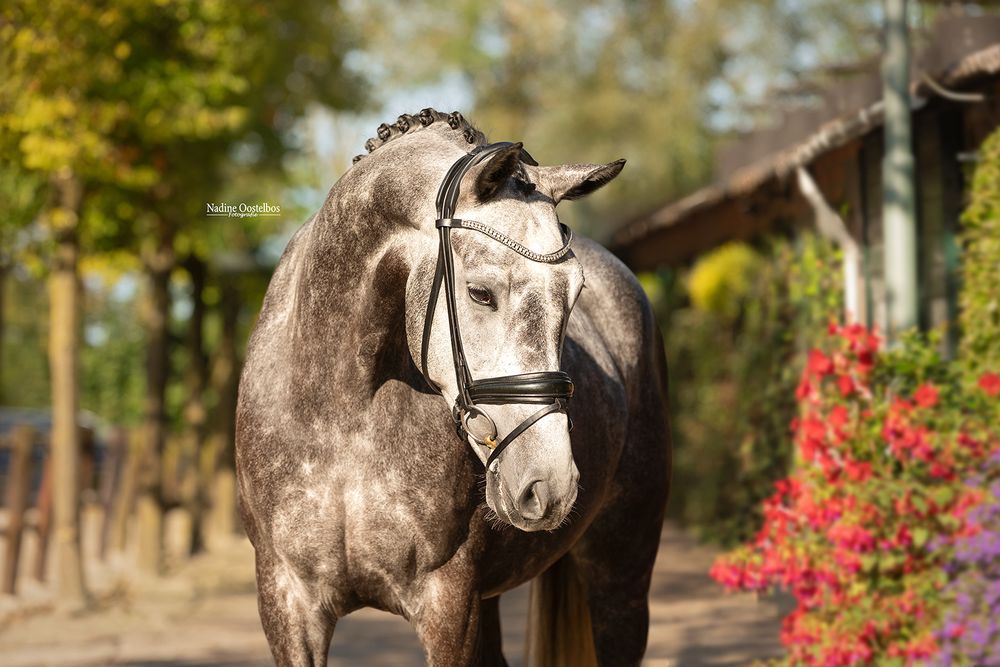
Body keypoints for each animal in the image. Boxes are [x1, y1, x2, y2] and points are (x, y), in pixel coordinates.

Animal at [235, 109, 671, 667]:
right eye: (480, 293)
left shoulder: (449, 604)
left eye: (575, 294)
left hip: (622, 578)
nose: (550, 486)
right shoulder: (288, 602)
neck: (340, 418)